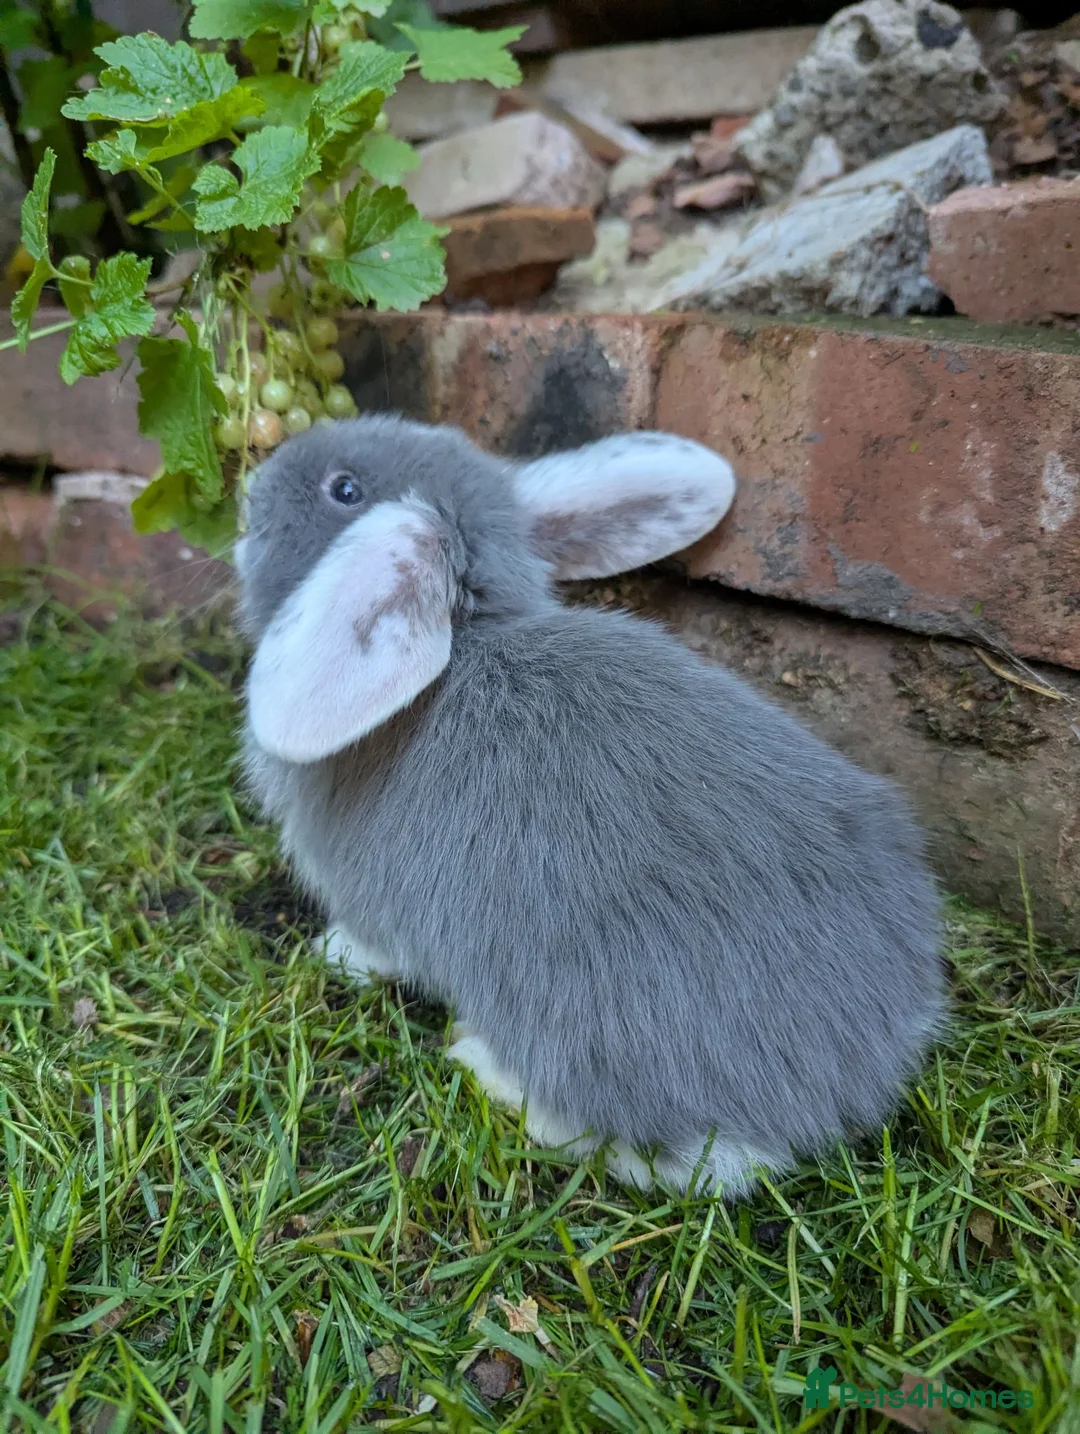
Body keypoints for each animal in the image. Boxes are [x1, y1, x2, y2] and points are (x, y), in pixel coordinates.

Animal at [235, 414, 945, 1197]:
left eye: (345, 489)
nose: (253, 484)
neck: (463, 646)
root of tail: (850, 1074)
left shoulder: (376, 908)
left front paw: (334, 955)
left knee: (699, 1158)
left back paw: (488, 1070)